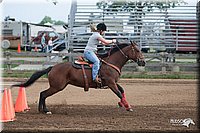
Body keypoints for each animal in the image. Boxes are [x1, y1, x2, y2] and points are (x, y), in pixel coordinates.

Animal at [11, 40, 145, 114]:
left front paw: (122, 103)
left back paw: (42, 110)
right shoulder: (111, 83)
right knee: (43, 94)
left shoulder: (113, 82)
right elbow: (118, 93)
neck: (111, 62)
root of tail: (53, 68)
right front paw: (128, 106)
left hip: (57, 86)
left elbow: (122, 90)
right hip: (57, 87)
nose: (143, 62)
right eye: (137, 50)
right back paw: (46, 110)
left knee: (42, 94)